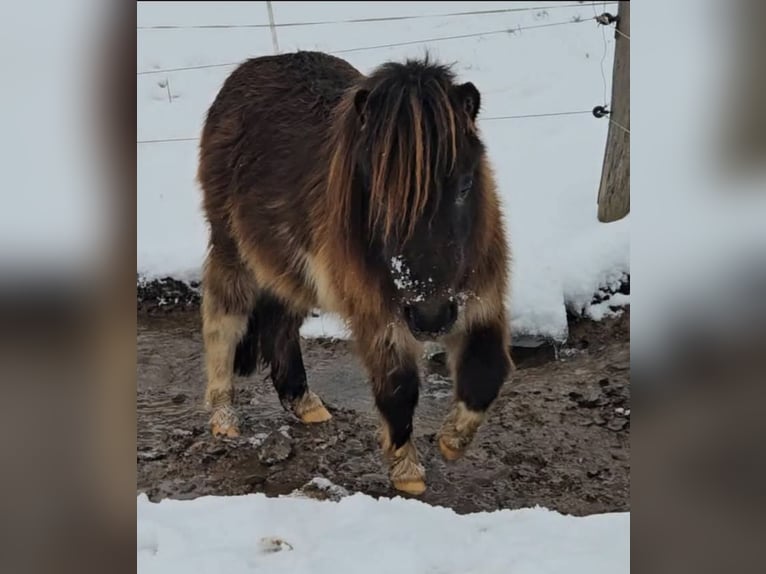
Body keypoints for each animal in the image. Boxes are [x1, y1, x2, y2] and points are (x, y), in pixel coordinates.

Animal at [195, 51, 512, 498]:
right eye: (379, 193)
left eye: (466, 186)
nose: (430, 317)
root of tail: (250, 68)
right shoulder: (377, 314)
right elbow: (398, 387)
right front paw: (407, 471)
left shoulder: (480, 300)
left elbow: (489, 370)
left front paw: (452, 440)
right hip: (232, 250)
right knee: (223, 321)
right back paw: (224, 418)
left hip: (293, 269)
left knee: (278, 325)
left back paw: (305, 404)